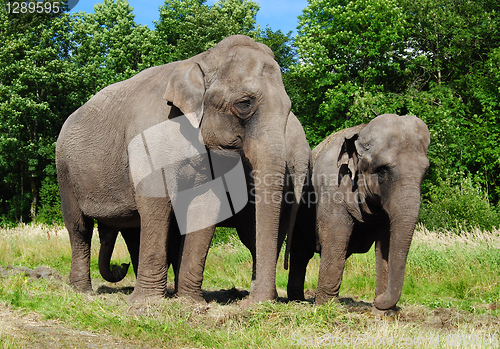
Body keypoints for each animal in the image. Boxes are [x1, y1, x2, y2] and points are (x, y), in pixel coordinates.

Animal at [57, 34, 292, 304]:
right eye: (244, 104)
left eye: (289, 109)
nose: (251, 302)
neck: (200, 60)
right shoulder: (149, 137)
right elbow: (157, 203)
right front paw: (146, 303)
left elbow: (206, 207)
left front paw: (190, 302)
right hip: (65, 170)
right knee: (79, 228)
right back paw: (82, 292)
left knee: (132, 229)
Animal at [290, 114, 430, 310]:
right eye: (382, 171)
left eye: (425, 171)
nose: (377, 302)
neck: (360, 131)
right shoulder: (331, 188)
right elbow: (335, 237)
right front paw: (328, 307)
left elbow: (386, 243)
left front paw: (384, 312)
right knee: (300, 253)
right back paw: (297, 300)